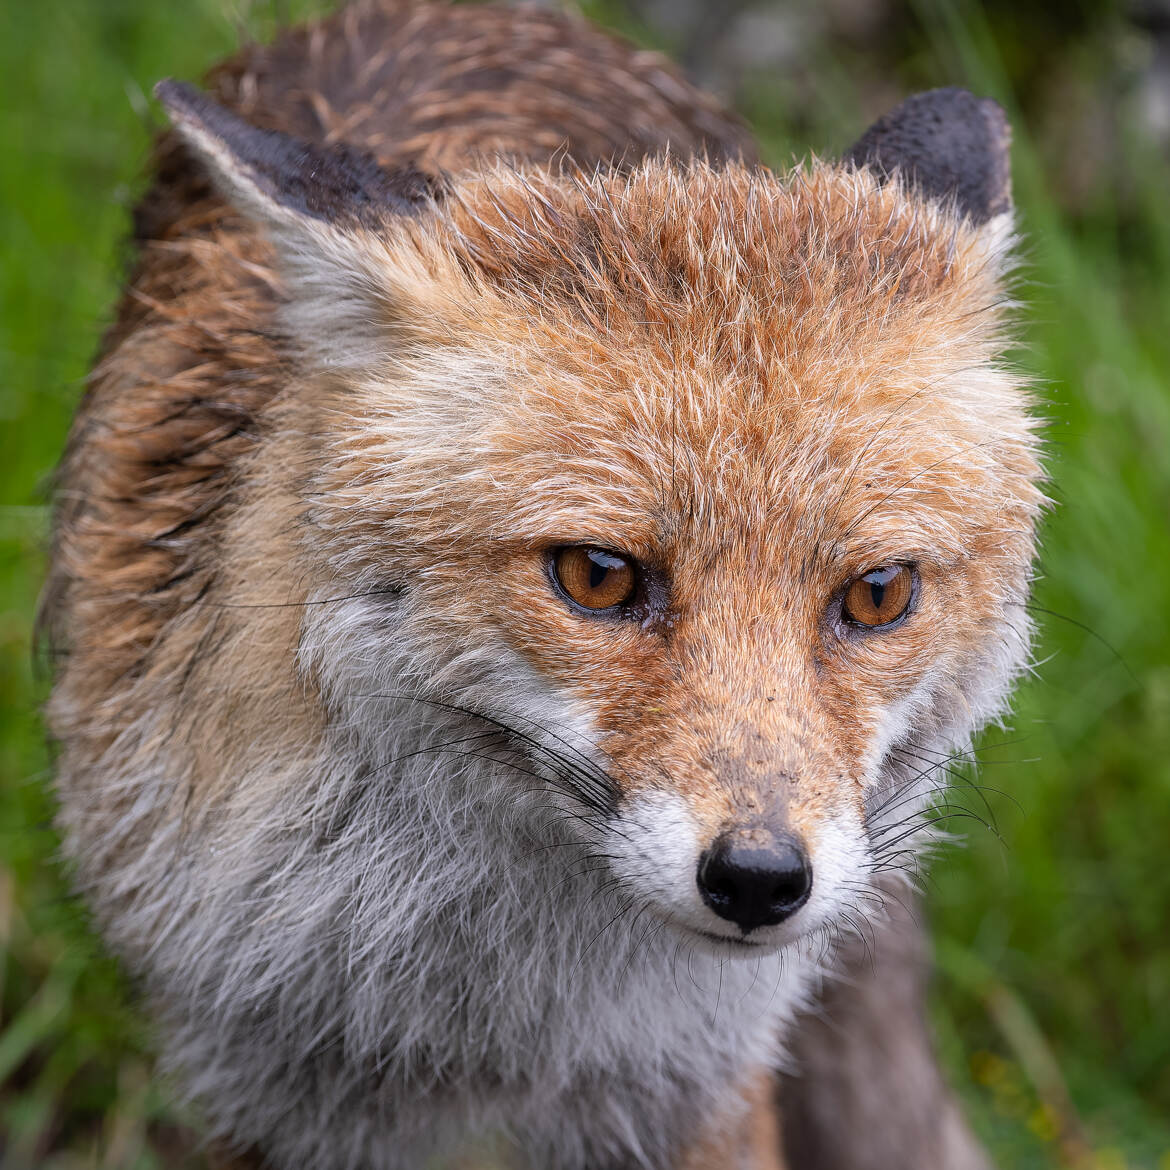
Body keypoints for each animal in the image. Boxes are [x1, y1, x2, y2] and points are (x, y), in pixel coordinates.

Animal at [41, 2, 1043, 1170]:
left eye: (878, 592)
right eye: (596, 577)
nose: (760, 881)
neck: (503, 1029)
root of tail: (456, 17)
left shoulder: (689, 1090)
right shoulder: (271, 1093)